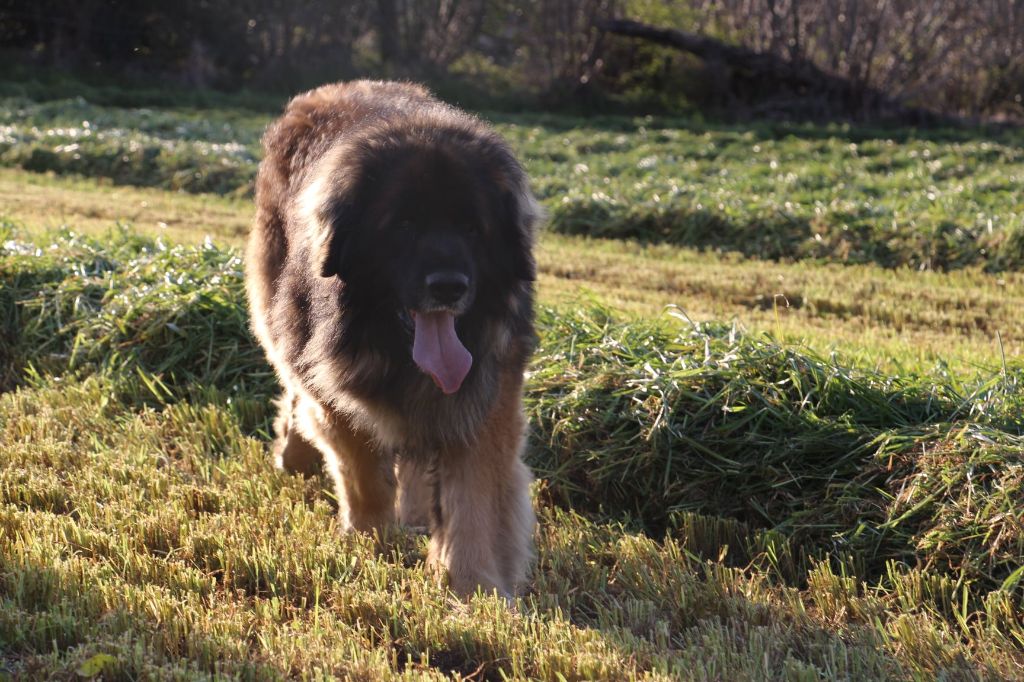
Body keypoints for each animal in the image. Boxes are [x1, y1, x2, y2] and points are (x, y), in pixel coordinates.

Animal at [244, 82, 540, 598]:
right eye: (403, 225)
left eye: (473, 228)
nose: (448, 287)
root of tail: (323, 91)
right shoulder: (336, 389)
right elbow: (363, 473)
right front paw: (369, 541)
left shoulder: (486, 394)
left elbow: (474, 499)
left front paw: (474, 587)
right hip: (280, 320)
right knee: (296, 388)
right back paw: (294, 455)